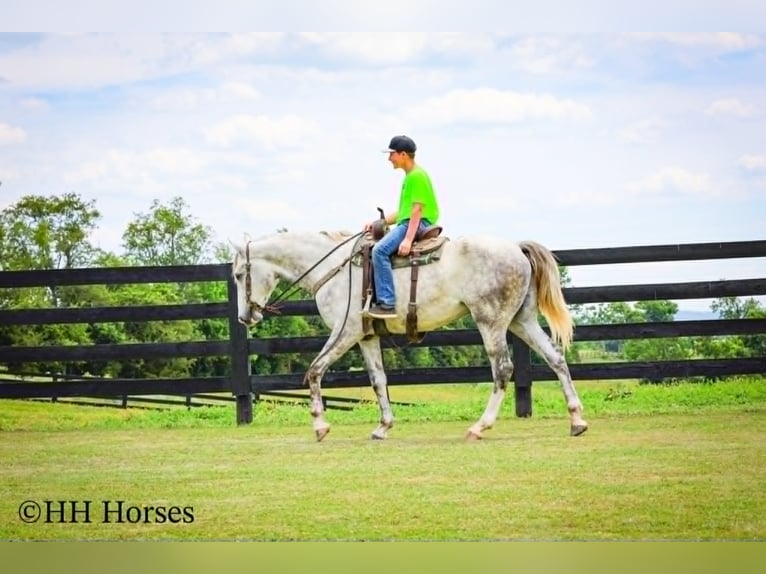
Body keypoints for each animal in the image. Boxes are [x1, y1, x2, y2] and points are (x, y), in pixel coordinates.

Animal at [231, 230, 588, 442]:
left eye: (237, 275)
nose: (245, 317)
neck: (335, 267)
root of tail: (516, 247)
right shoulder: (366, 337)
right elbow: (378, 380)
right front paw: (383, 426)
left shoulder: (345, 332)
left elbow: (315, 370)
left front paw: (320, 425)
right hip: (520, 321)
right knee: (556, 359)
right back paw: (576, 420)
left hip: (492, 322)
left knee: (503, 370)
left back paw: (479, 426)